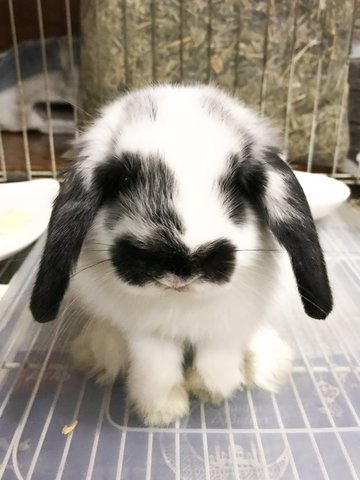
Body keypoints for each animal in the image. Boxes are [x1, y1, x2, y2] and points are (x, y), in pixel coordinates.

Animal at [29, 84, 334, 426]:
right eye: (121, 180)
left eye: (237, 186)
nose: (180, 263)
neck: (181, 301)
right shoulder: (146, 333)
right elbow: (157, 369)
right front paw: (163, 412)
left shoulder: (228, 322)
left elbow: (218, 357)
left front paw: (212, 391)